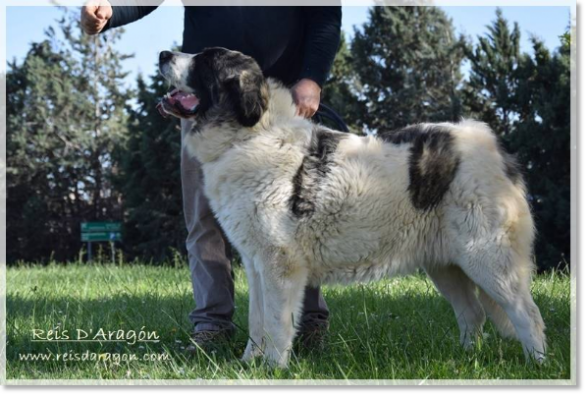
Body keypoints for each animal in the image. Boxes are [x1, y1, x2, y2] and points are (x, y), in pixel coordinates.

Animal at [157, 48, 548, 366]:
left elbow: (276, 321)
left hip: (488, 259)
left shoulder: (279, 264)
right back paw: (466, 360)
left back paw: (538, 365)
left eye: (204, 61)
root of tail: (492, 145)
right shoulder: (255, 264)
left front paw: (272, 367)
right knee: (473, 314)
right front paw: (248, 364)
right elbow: (257, 319)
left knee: (527, 313)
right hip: (447, 267)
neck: (250, 134)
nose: (162, 53)